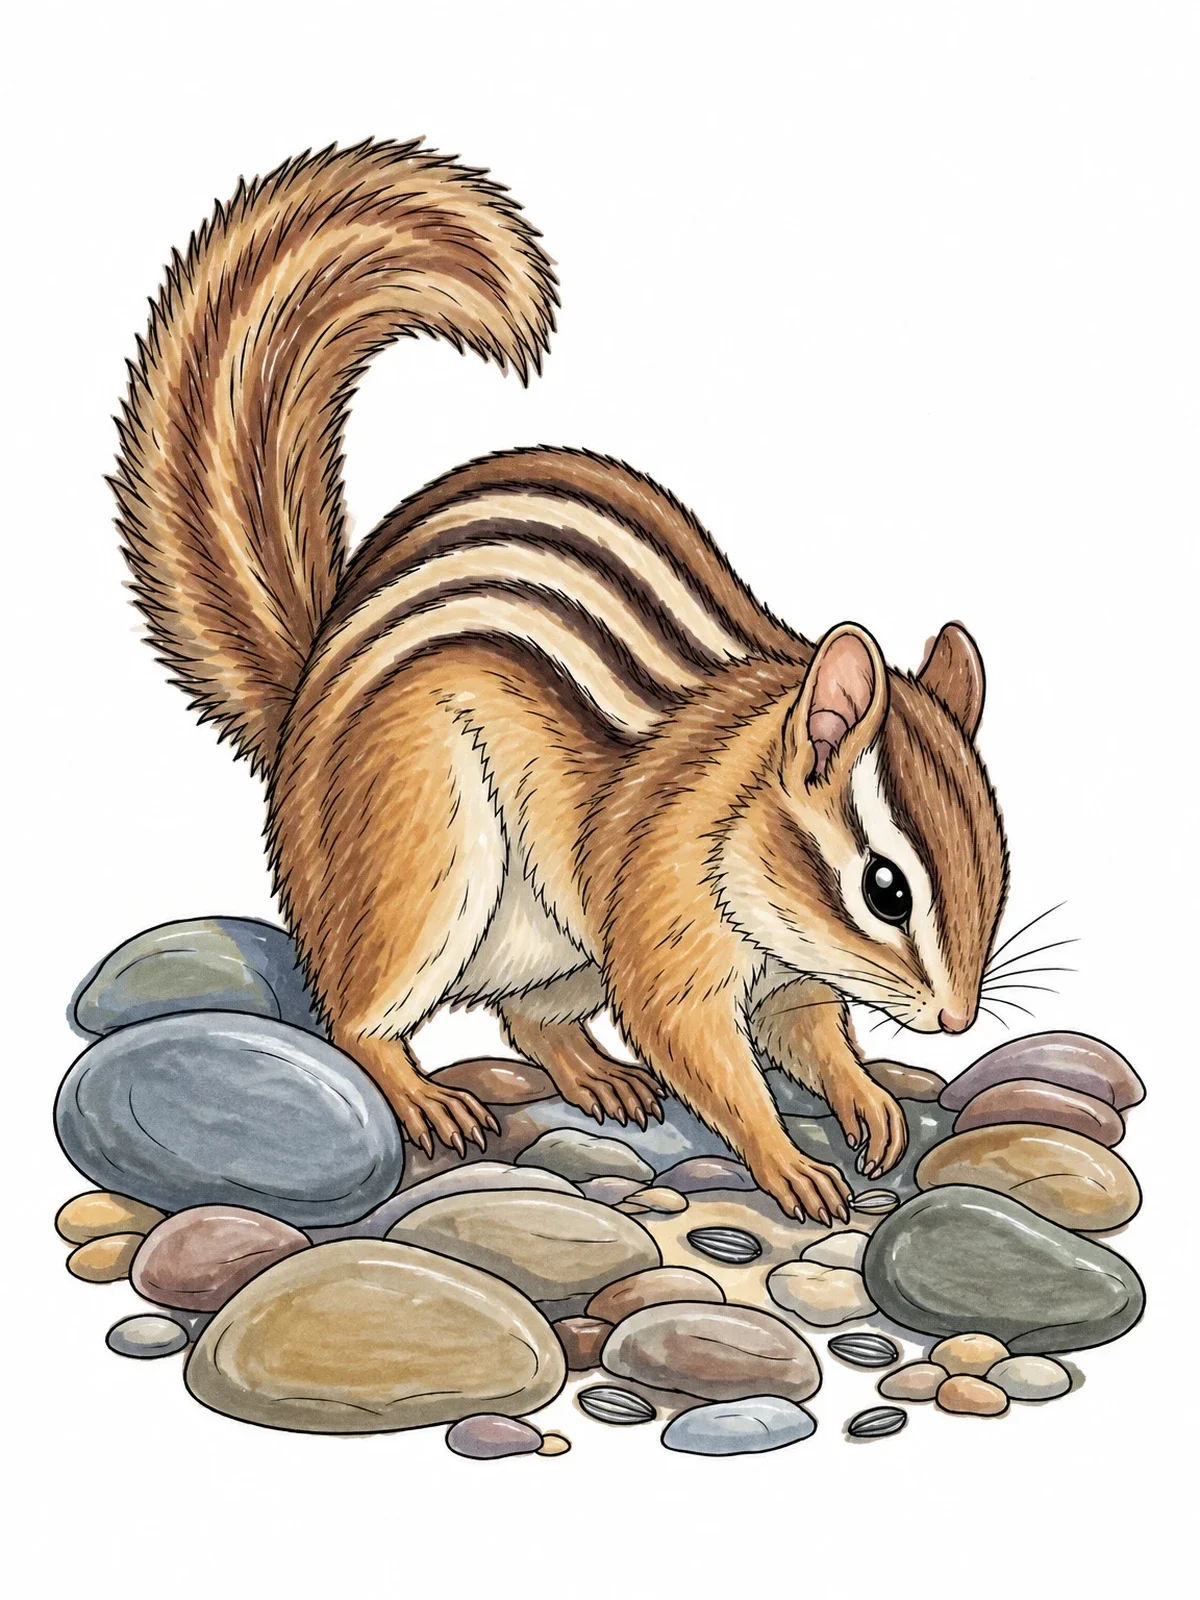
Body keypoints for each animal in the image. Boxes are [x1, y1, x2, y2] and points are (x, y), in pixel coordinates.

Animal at [112, 139, 1009, 1224]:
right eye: (886, 890)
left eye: (997, 860)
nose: (957, 1018)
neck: (737, 796)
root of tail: (298, 728)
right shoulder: (667, 913)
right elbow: (695, 1045)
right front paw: (788, 1162)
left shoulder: (786, 971)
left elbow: (810, 1030)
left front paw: (866, 1100)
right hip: (422, 856)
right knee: (358, 1017)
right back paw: (424, 1094)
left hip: (558, 946)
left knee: (526, 1020)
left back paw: (598, 1079)